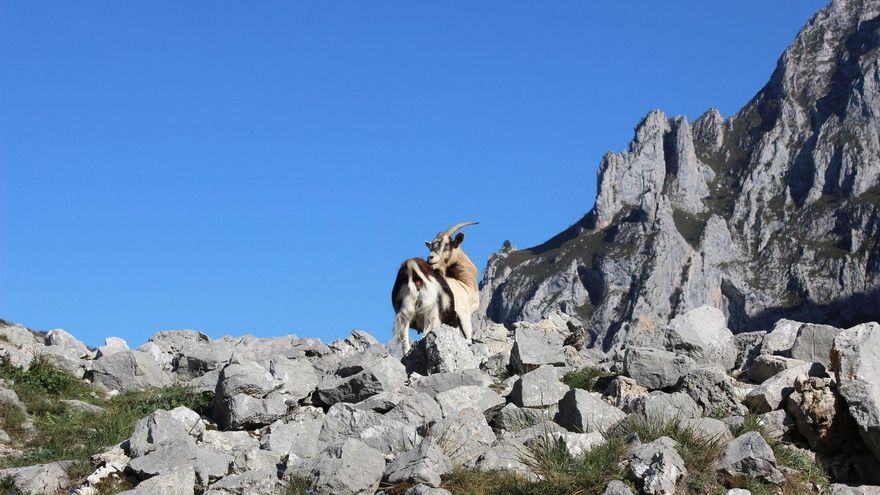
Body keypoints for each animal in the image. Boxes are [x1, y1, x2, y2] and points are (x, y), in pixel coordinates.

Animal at [391, 221, 479, 353]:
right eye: (431, 246)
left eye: (447, 244)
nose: (430, 258)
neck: (463, 283)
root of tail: (414, 270)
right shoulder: (464, 314)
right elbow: (468, 337)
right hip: (430, 313)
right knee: (425, 334)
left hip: (405, 313)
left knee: (405, 341)